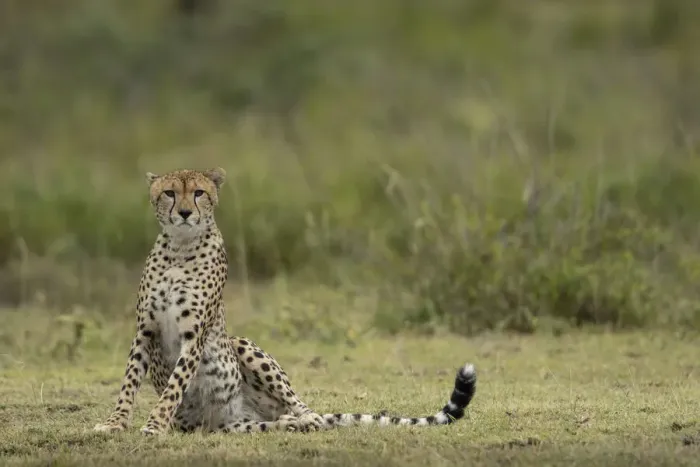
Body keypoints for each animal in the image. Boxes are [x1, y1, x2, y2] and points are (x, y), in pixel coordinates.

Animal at [93, 167, 477, 436]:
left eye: (199, 193)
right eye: (170, 193)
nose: (186, 213)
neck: (179, 248)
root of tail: (229, 417)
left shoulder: (195, 335)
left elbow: (173, 387)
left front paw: (155, 425)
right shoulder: (145, 330)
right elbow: (129, 381)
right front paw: (114, 423)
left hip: (242, 344)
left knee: (305, 408)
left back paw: (308, 421)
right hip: (237, 424)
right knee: (271, 423)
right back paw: (289, 425)